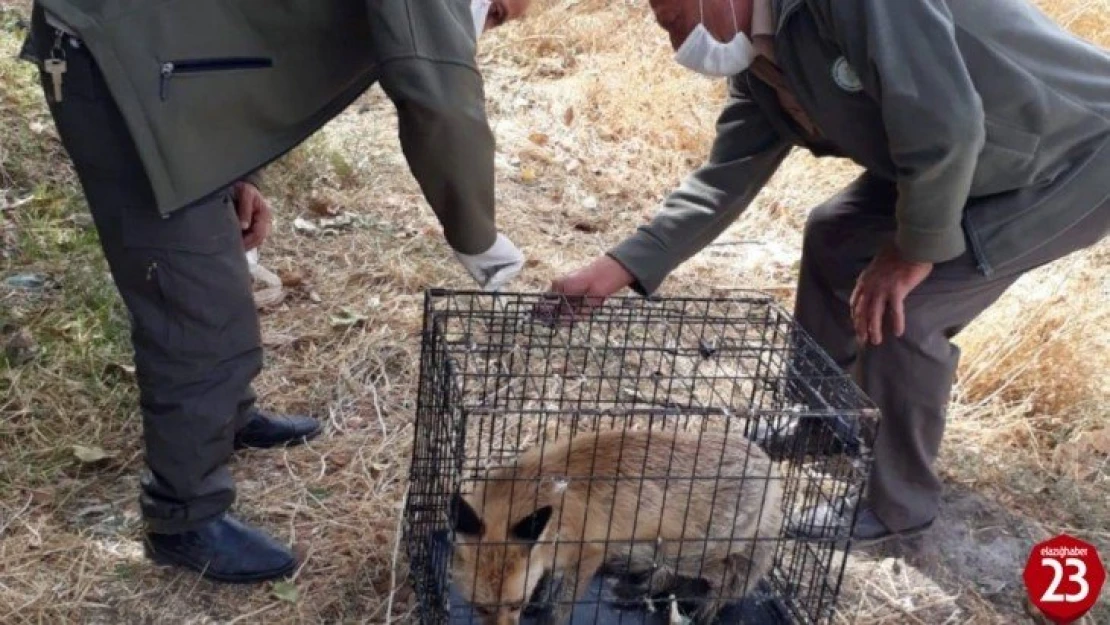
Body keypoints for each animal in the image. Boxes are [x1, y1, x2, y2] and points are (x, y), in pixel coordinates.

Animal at [448, 428, 781, 621]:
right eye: (480, 607)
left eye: (515, 605)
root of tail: (769, 466)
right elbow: (546, 579)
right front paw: (539, 599)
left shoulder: (589, 553)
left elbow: (562, 604)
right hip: (667, 549)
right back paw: (634, 593)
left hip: (687, 552)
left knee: (727, 575)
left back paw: (706, 609)